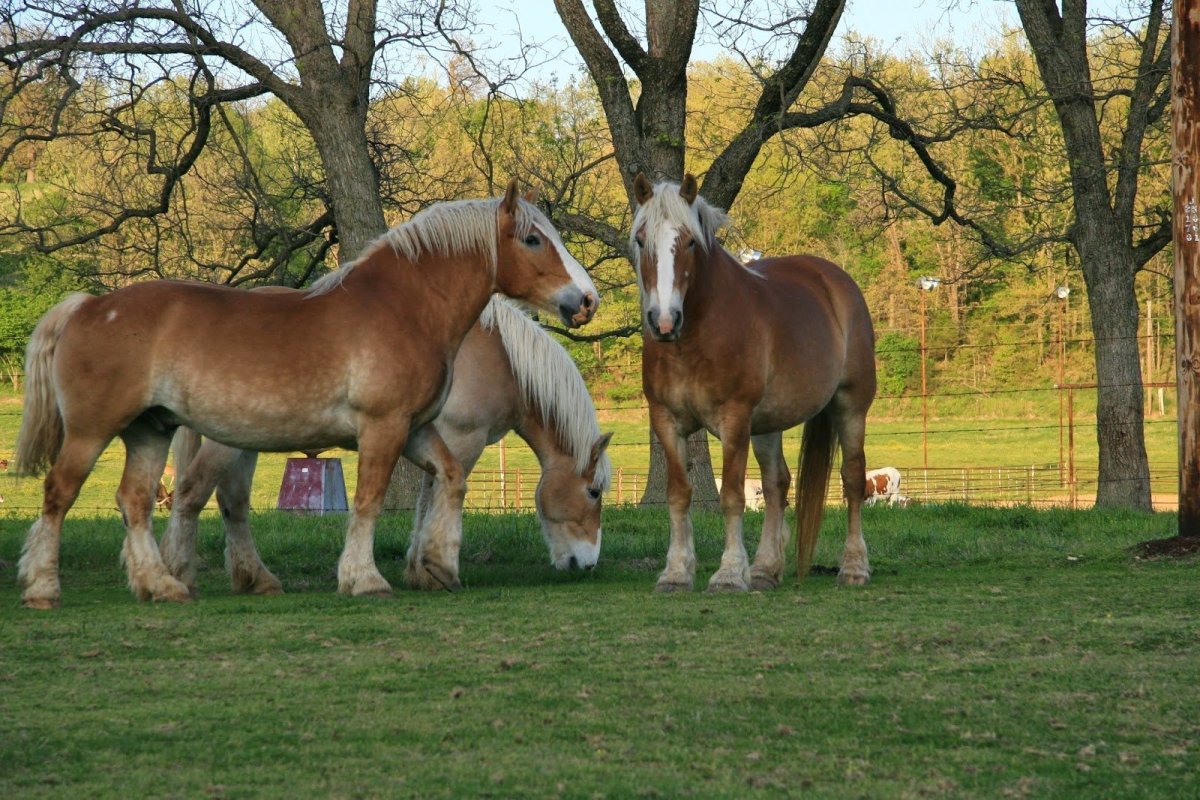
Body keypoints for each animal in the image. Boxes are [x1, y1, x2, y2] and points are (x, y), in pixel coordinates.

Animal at [158, 296, 613, 595]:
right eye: (593, 492)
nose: (588, 564)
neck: (501, 357)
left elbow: (428, 497)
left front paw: (420, 568)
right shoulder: (462, 440)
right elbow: (436, 499)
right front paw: (429, 569)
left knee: (231, 502)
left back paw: (252, 578)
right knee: (195, 492)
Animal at [630, 173, 876, 592]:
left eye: (690, 241)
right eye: (641, 239)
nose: (664, 320)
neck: (696, 336)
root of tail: (837, 281)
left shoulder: (734, 420)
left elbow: (731, 495)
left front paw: (729, 573)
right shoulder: (665, 420)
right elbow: (678, 495)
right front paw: (676, 572)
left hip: (850, 407)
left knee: (853, 479)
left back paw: (854, 567)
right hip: (766, 424)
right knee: (777, 485)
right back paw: (765, 569)